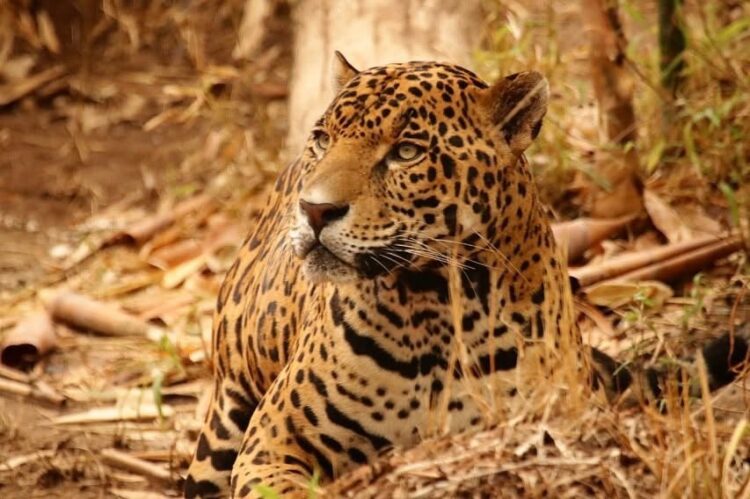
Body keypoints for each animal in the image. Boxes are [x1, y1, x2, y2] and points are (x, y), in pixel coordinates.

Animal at [184, 52, 749, 498]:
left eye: (406, 152)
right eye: (323, 140)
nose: (314, 210)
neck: (430, 303)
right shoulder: (272, 440)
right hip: (225, 416)